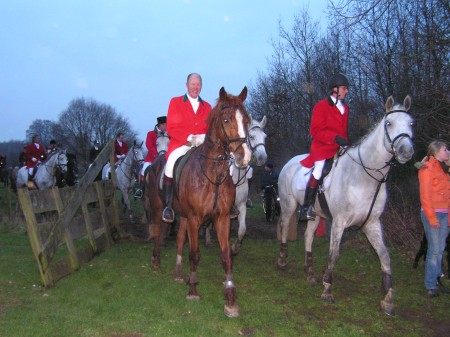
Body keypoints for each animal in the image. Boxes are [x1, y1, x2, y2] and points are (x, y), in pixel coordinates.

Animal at [143, 86, 251, 316]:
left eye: (246, 120)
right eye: (226, 120)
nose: (243, 157)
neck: (213, 173)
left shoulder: (222, 218)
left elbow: (226, 256)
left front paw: (230, 299)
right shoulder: (195, 218)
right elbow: (194, 254)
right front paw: (193, 288)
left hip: (183, 215)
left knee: (179, 240)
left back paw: (177, 271)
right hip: (159, 209)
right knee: (157, 231)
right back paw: (156, 260)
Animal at [278, 96, 414, 316]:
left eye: (411, 123)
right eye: (389, 123)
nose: (406, 151)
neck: (364, 177)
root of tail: (290, 161)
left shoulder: (372, 223)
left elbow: (384, 256)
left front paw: (388, 298)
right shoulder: (339, 222)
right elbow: (334, 254)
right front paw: (327, 289)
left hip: (316, 214)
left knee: (308, 236)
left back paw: (310, 272)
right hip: (289, 206)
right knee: (283, 228)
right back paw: (282, 261)